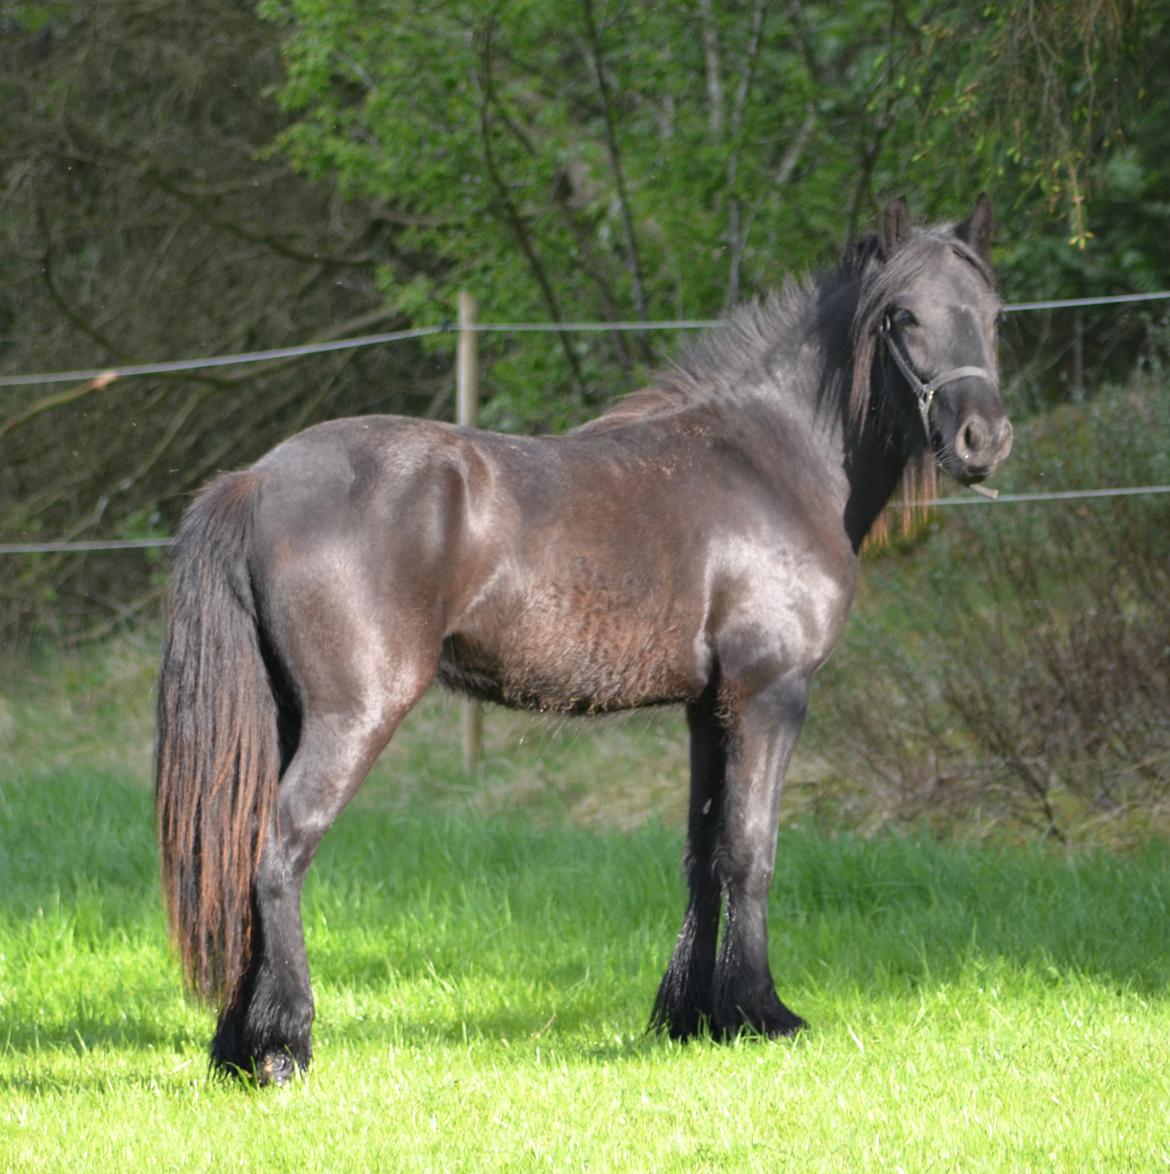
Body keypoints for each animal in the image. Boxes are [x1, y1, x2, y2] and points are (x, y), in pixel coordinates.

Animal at [157, 194, 1013, 1080]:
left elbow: (704, 855)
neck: (770, 461)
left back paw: (237, 1047)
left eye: (993, 313)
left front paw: (691, 1017)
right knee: (280, 850)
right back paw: (283, 1046)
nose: (984, 440)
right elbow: (752, 851)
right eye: (902, 315)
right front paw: (760, 1013)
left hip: (288, 715)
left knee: (239, 854)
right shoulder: (768, 695)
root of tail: (256, 480)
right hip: (352, 717)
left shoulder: (708, 710)